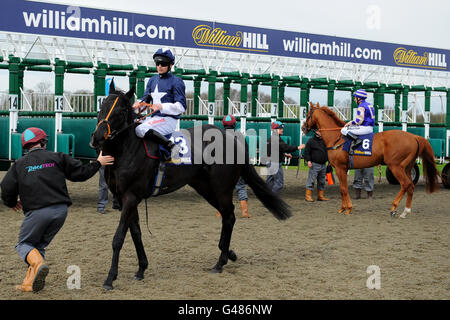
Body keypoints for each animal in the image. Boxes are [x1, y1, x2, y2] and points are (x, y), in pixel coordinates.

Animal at [90, 82, 292, 290]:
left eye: (121, 110)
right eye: (102, 105)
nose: (97, 138)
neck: (127, 149)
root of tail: (233, 140)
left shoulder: (131, 197)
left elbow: (118, 238)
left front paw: (110, 278)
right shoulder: (125, 198)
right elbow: (136, 233)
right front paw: (141, 269)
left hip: (222, 189)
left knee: (229, 216)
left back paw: (220, 262)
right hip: (205, 188)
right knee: (226, 216)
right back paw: (228, 254)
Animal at [302, 102, 440, 218]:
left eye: (308, 115)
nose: (303, 128)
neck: (336, 138)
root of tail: (414, 136)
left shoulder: (340, 167)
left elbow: (343, 189)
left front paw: (347, 208)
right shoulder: (343, 168)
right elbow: (343, 188)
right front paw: (343, 208)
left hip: (395, 166)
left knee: (406, 184)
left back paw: (394, 207)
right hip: (407, 167)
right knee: (410, 186)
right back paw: (405, 211)